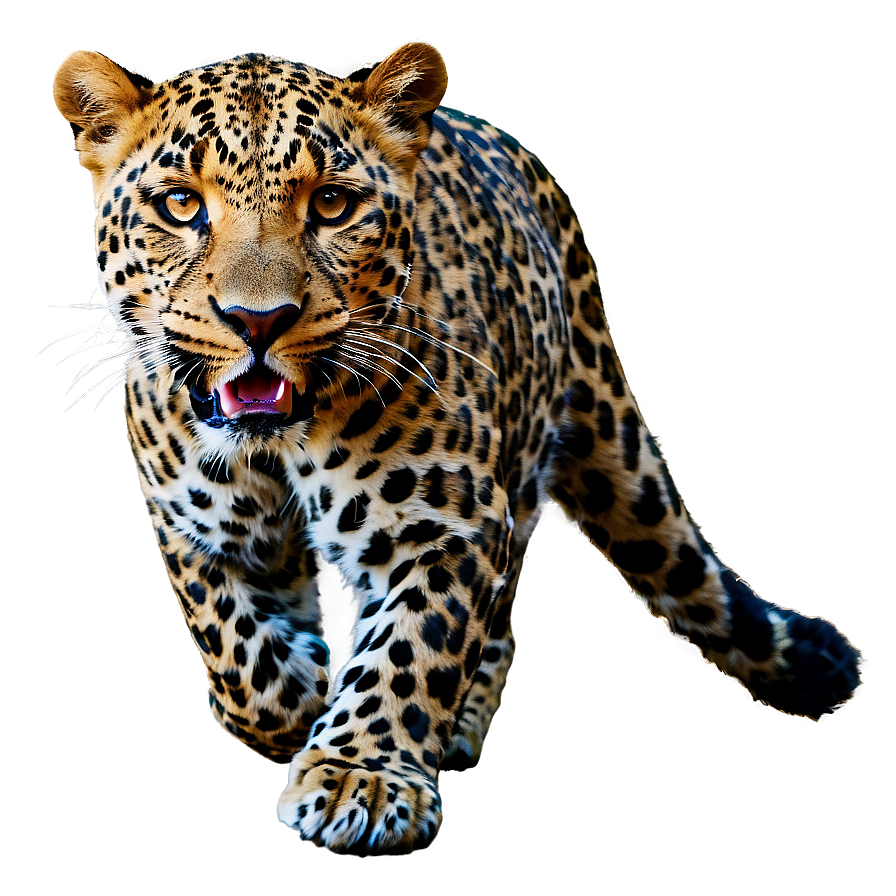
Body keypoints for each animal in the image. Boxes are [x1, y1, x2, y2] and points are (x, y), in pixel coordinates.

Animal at [53, 40, 861, 855]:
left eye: (332, 205)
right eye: (180, 206)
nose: (258, 320)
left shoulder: (451, 522)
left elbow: (416, 650)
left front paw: (361, 777)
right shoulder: (198, 523)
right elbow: (238, 654)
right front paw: (298, 694)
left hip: (603, 442)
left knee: (640, 576)